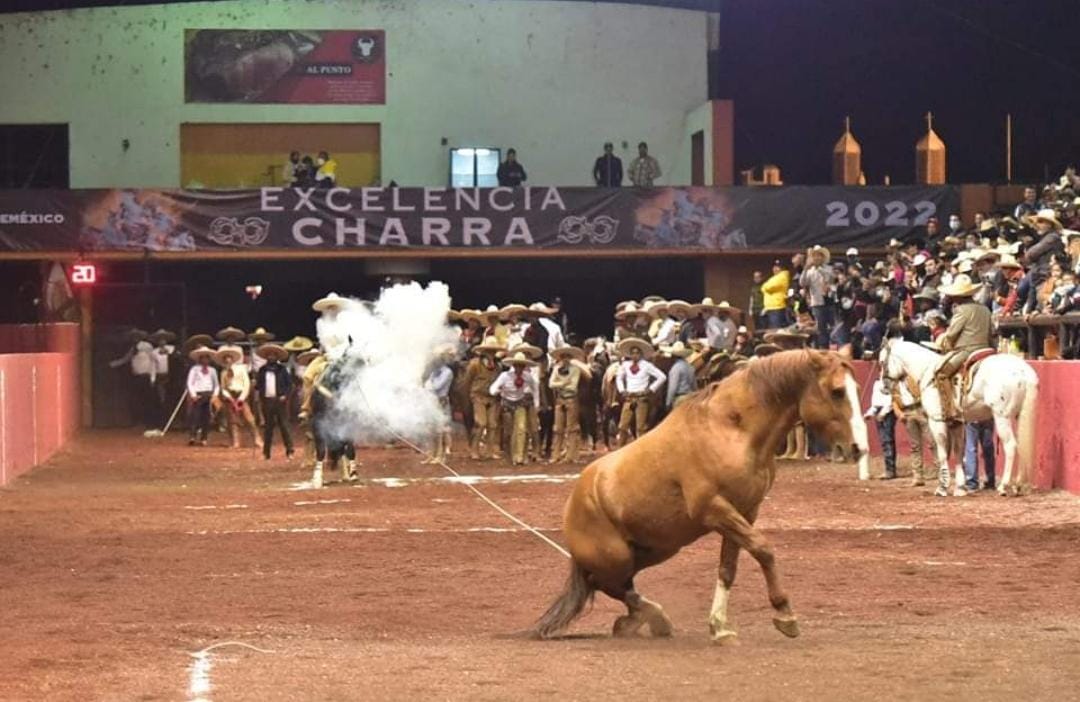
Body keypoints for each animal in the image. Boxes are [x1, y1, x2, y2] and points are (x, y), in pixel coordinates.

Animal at [531, 349, 868, 639]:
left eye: (854, 387)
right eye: (837, 391)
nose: (858, 448)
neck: (733, 430)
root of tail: (578, 497)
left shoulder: (744, 512)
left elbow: (728, 568)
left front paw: (719, 626)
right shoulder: (714, 510)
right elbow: (763, 549)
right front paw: (785, 615)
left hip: (656, 549)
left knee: (616, 586)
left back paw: (640, 620)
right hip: (617, 558)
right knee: (608, 584)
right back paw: (654, 617)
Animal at [881, 336, 1041, 492]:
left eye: (882, 362)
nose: (883, 388)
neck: (927, 371)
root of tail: (1024, 371)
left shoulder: (936, 421)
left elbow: (942, 453)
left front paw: (942, 487)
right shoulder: (956, 423)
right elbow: (958, 452)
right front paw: (960, 486)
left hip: (1002, 417)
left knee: (1011, 446)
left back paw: (1003, 486)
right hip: (1020, 415)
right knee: (1021, 445)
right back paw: (1017, 485)